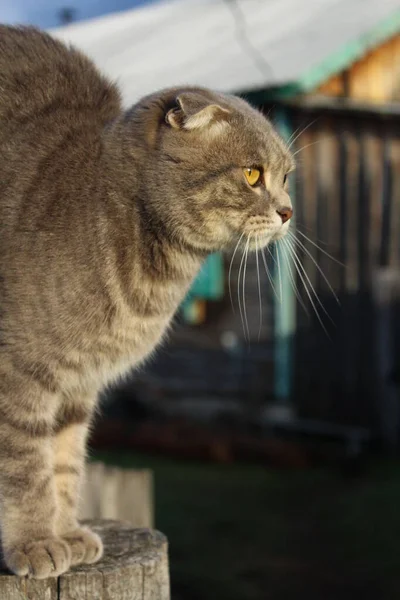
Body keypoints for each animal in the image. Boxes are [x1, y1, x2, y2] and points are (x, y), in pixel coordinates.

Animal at [0, 25, 294, 580]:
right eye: (252, 175)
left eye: (287, 177)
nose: (289, 212)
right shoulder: (18, 375)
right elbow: (26, 465)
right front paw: (35, 542)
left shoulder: (77, 385)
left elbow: (64, 462)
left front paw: (67, 533)